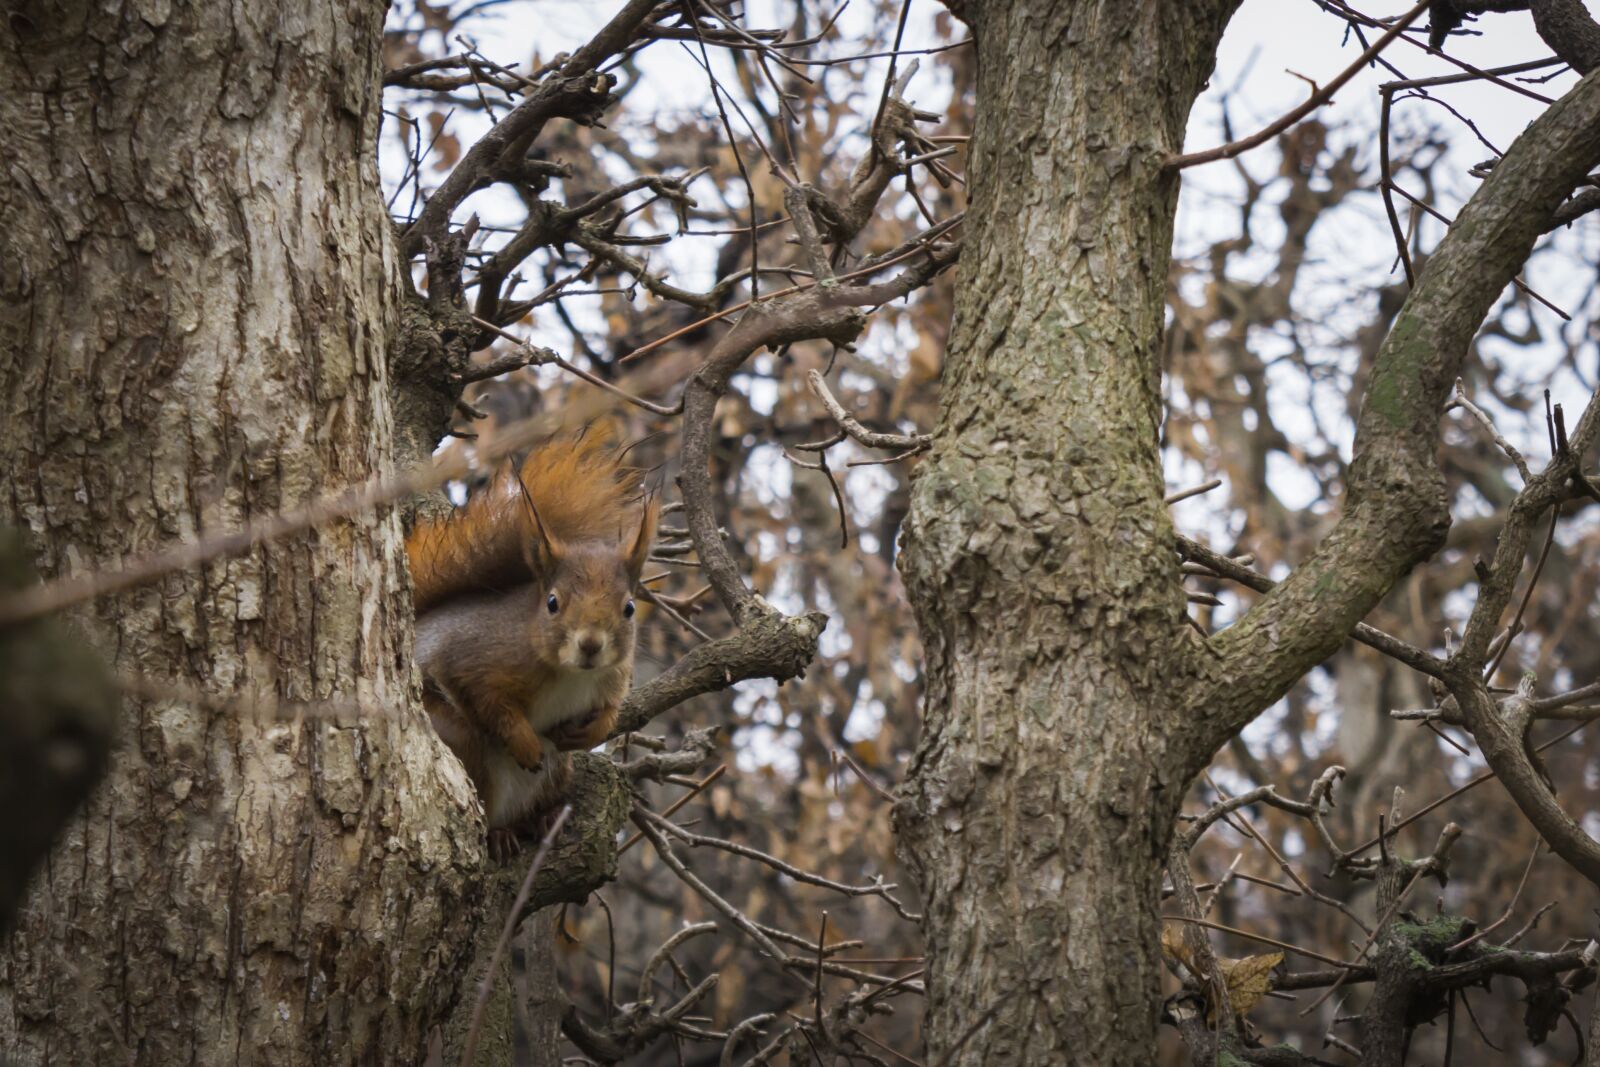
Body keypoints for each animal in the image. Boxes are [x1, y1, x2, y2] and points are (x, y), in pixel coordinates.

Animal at [406, 432, 658, 860]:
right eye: (552, 602)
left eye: (628, 608)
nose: (590, 645)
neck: (570, 674)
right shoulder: (471, 657)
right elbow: (489, 702)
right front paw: (523, 743)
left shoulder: (613, 677)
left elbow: (610, 709)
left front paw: (592, 731)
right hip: (460, 741)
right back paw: (498, 834)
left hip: (557, 772)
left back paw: (543, 820)